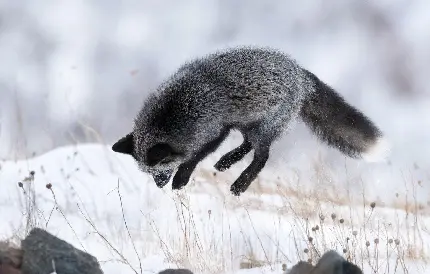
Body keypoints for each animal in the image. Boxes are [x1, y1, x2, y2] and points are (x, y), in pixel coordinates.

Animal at [111, 47, 390, 197]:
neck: (178, 108)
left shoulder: (215, 129)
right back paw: (225, 163)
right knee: (248, 145)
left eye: (160, 171)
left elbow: (194, 157)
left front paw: (181, 180)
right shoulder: (223, 126)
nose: (159, 185)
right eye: (148, 173)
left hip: (263, 128)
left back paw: (240, 184)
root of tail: (301, 74)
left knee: (262, 157)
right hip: (247, 123)